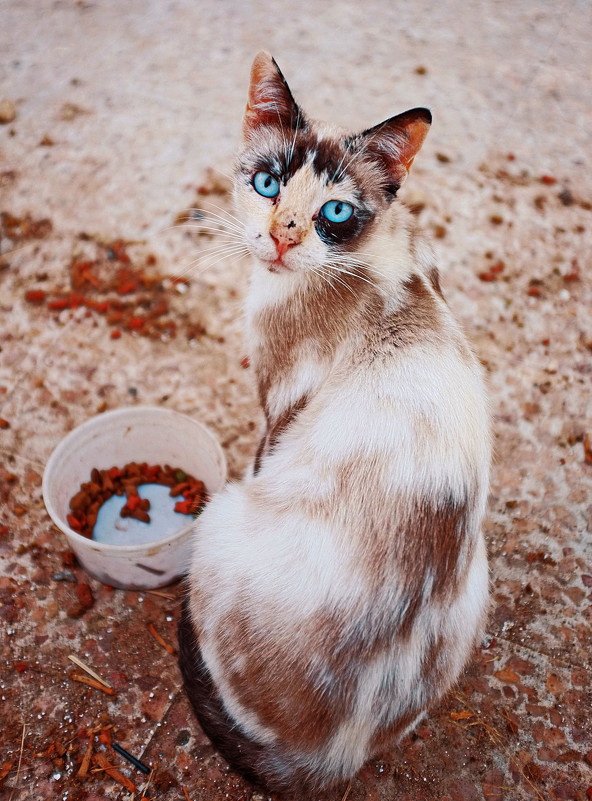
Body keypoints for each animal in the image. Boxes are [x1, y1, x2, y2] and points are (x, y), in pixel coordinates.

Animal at [178, 51, 492, 792]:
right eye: (267, 184)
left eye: (336, 213)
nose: (280, 237)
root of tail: (334, 759)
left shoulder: (279, 407)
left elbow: (266, 441)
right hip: (479, 582)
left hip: (219, 514)